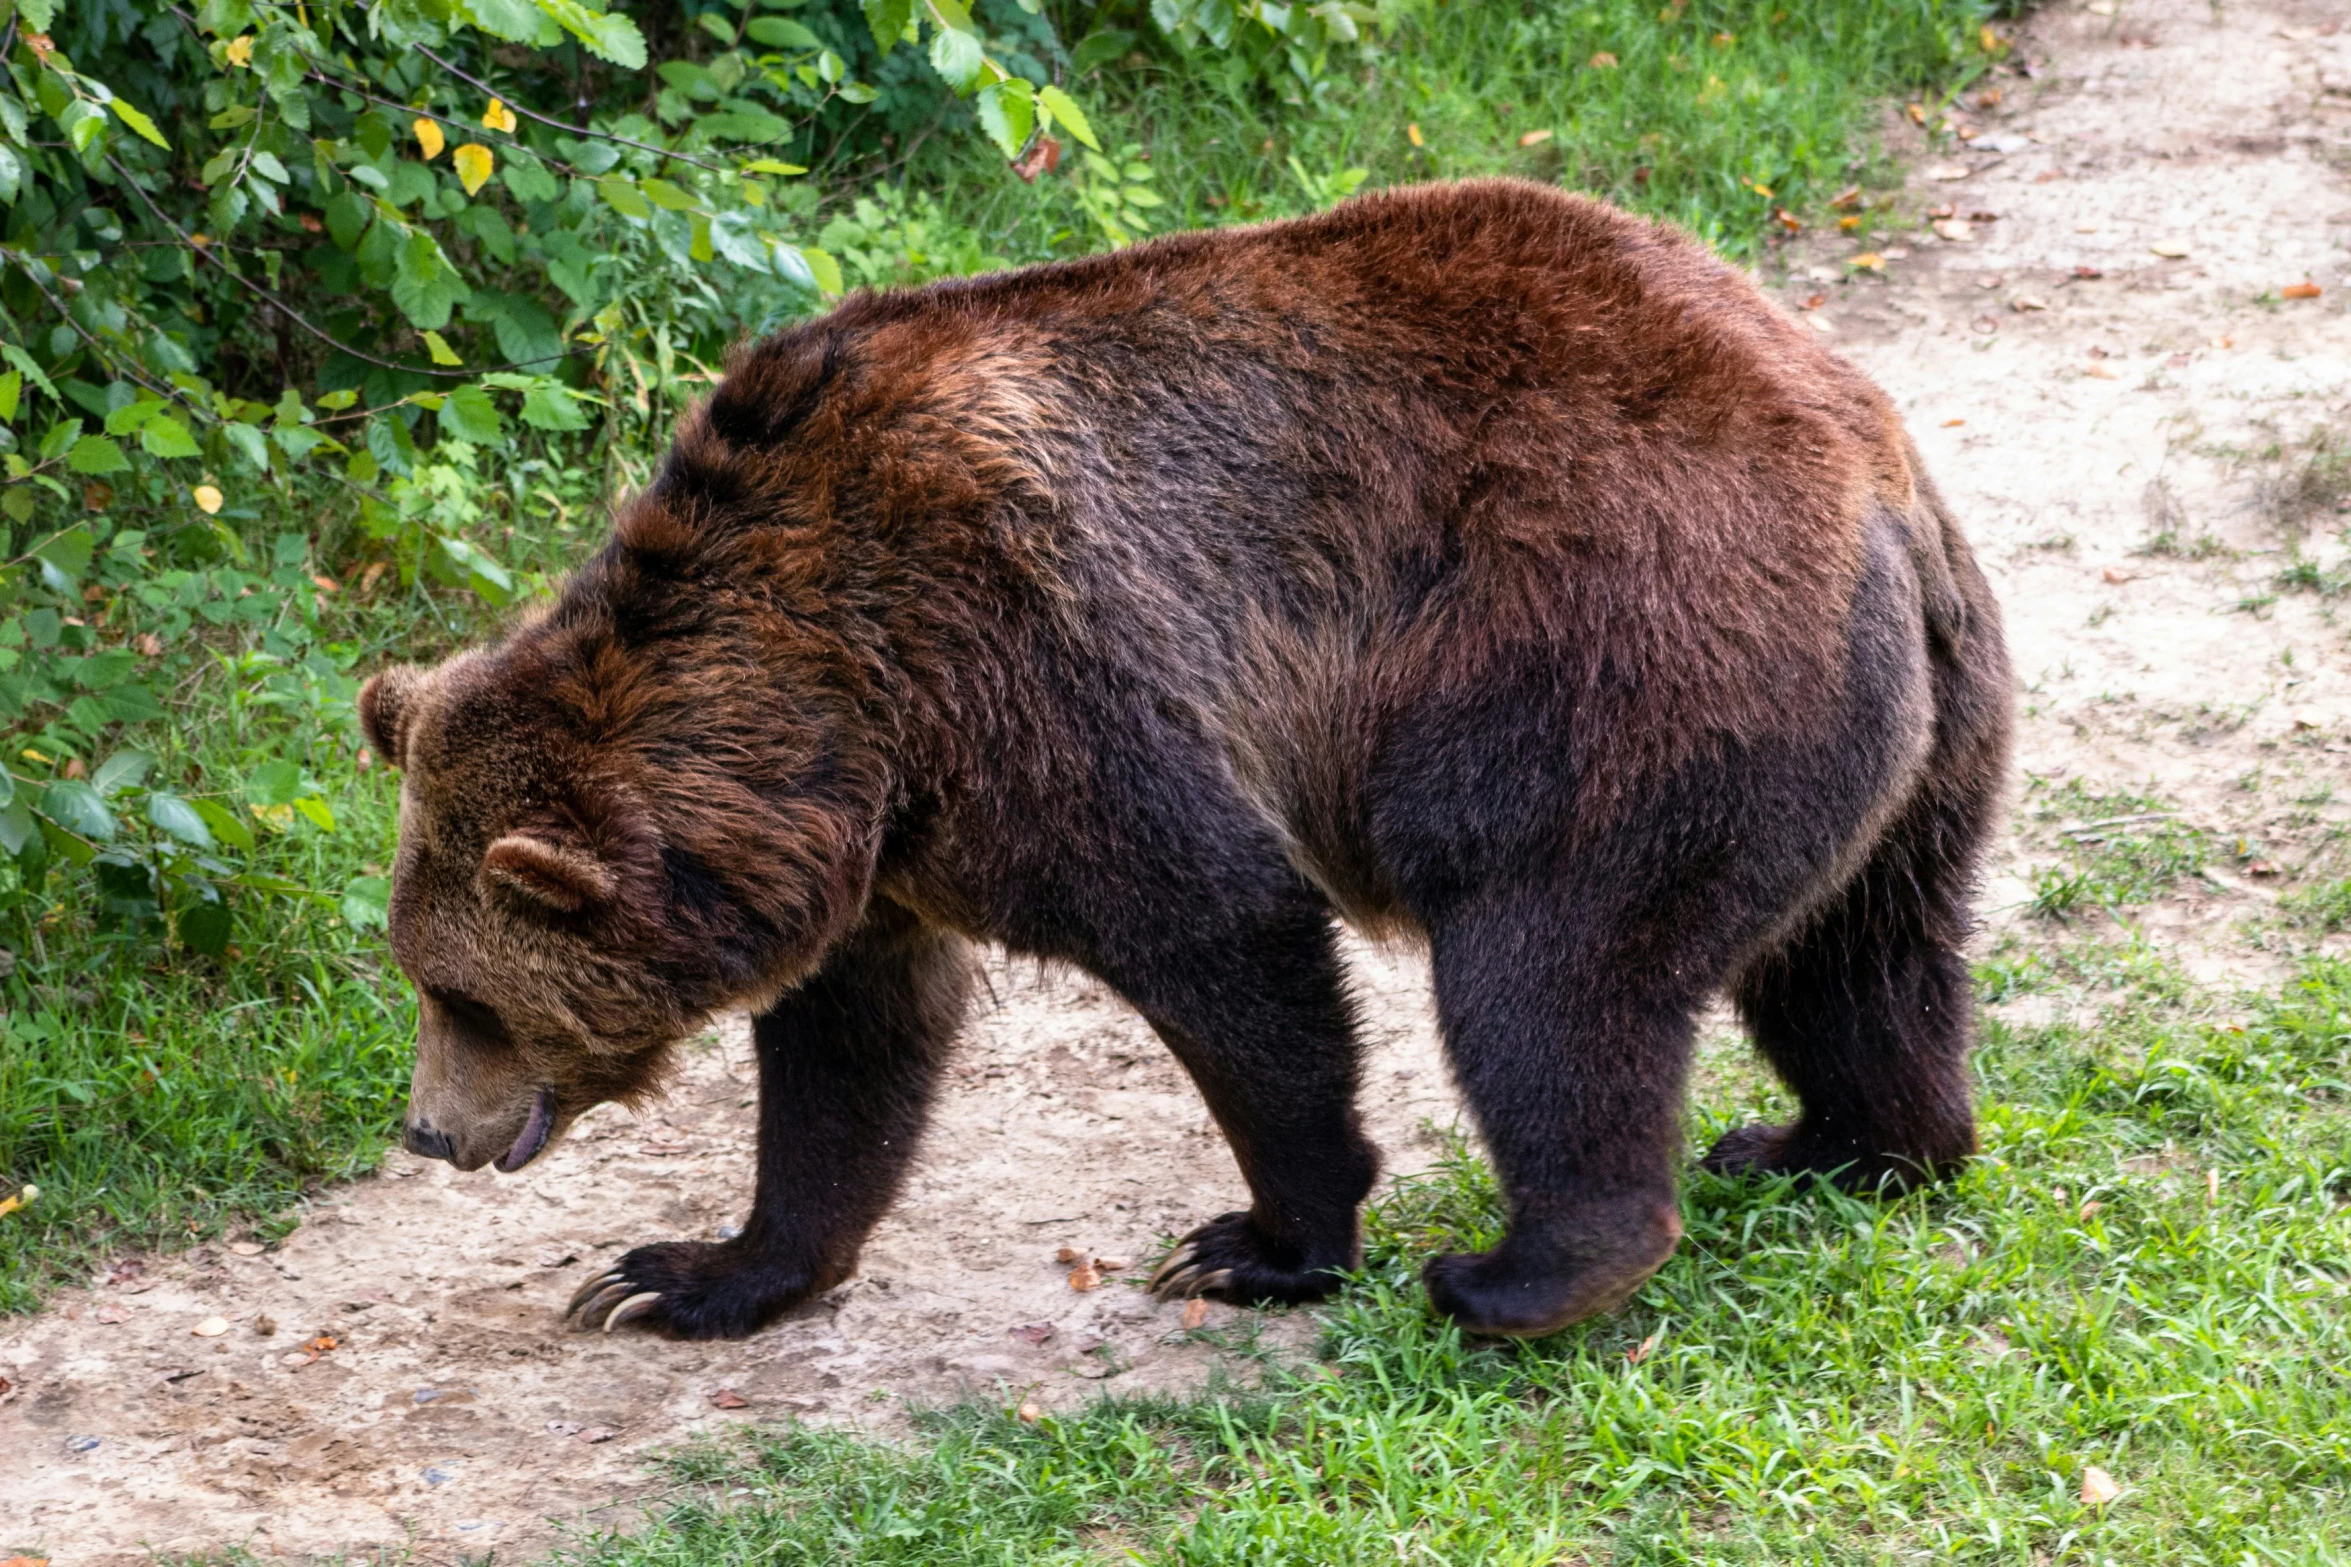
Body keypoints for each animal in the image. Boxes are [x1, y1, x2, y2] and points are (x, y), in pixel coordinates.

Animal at [357, 177, 2012, 1343]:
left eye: (466, 992)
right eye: (422, 977)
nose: (430, 1127)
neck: (830, 702)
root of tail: (1874, 476)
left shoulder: (1027, 666)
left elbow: (1219, 930)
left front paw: (1259, 1240)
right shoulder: (873, 839)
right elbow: (850, 1051)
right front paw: (685, 1271)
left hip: (1613, 669)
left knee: (1551, 969)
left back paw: (1520, 1269)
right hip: (1905, 734)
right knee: (1858, 954)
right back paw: (1832, 1140)